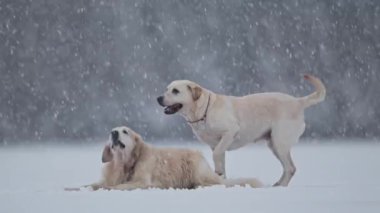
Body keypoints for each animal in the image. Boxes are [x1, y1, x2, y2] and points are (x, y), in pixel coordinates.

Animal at [65, 125, 262, 191]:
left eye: (125, 131)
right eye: (112, 131)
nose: (113, 133)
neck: (125, 163)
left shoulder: (142, 182)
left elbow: (116, 187)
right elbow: (91, 185)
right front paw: (71, 188)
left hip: (197, 168)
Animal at [156, 75, 326, 186]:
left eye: (176, 91)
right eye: (166, 89)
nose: (158, 98)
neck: (204, 111)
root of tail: (298, 101)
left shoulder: (229, 132)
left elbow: (216, 154)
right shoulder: (215, 144)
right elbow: (221, 163)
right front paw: (222, 179)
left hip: (279, 142)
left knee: (290, 168)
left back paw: (280, 186)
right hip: (273, 144)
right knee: (288, 168)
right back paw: (277, 184)